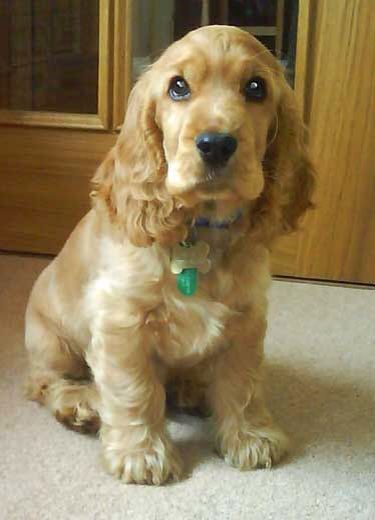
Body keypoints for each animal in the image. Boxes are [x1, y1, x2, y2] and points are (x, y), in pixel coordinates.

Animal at [25, 26, 316, 486]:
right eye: (178, 87)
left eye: (256, 88)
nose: (215, 144)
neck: (201, 229)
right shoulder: (122, 321)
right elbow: (135, 390)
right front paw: (141, 454)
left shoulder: (247, 317)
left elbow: (243, 380)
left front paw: (250, 435)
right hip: (51, 341)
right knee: (43, 381)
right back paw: (81, 403)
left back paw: (194, 389)